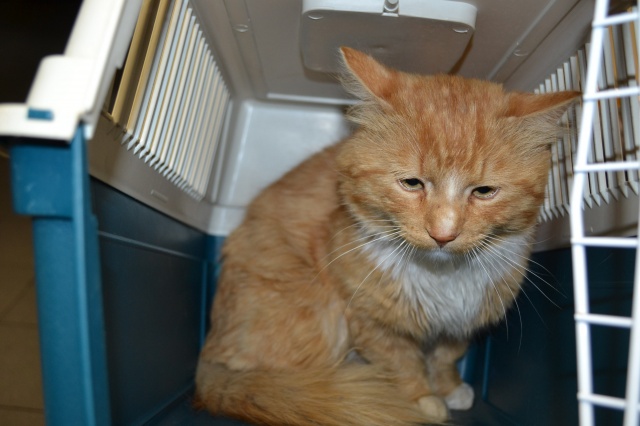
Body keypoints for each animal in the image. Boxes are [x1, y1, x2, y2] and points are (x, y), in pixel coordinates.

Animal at [194, 47, 580, 425]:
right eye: (411, 183)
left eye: (484, 191)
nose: (443, 234)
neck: (441, 277)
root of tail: (207, 364)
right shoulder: (371, 321)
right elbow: (402, 363)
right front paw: (423, 400)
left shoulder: (459, 325)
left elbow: (444, 358)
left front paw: (450, 389)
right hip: (319, 316)